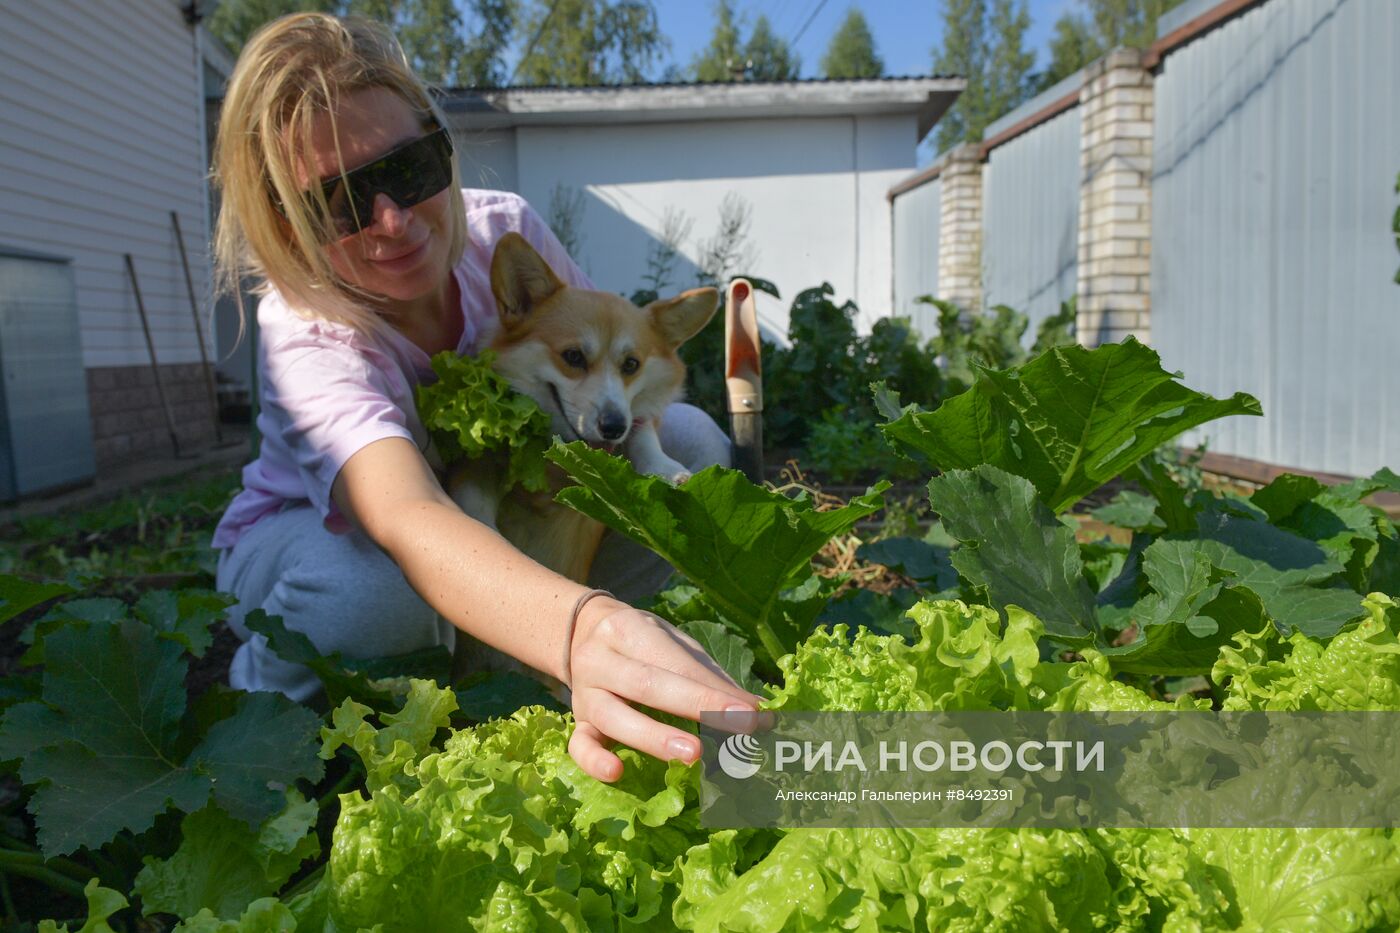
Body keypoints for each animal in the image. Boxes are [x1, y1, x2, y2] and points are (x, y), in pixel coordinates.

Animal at [448, 231, 722, 582]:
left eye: (631, 364)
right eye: (573, 356)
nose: (614, 427)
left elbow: (643, 432)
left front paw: (664, 468)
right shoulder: (476, 462)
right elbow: (475, 502)